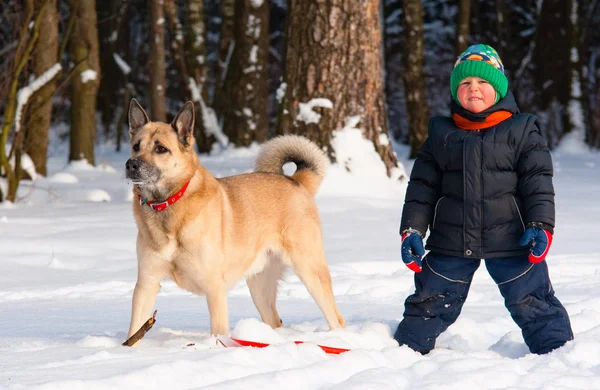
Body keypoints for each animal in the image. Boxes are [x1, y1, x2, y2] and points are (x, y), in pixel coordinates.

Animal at [124, 99, 344, 340]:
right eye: (136, 146)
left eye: (160, 149)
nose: (131, 164)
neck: (168, 204)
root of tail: (296, 181)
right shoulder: (146, 284)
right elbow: (134, 330)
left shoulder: (214, 287)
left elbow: (218, 333)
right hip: (259, 284)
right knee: (274, 321)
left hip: (309, 270)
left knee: (337, 318)